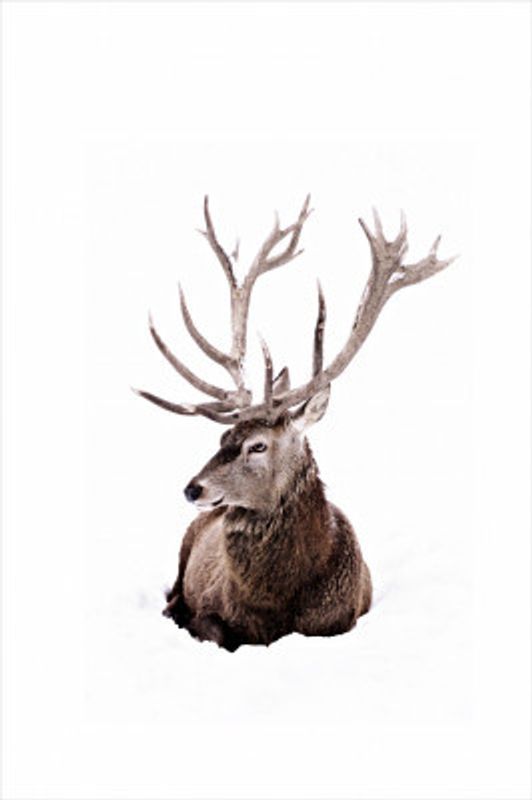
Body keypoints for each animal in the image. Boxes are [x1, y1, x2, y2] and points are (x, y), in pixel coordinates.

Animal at [134, 196, 454, 651]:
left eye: (258, 444)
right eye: (223, 435)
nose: (193, 488)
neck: (275, 604)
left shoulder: (341, 618)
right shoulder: (211, 607)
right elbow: (211, 628)